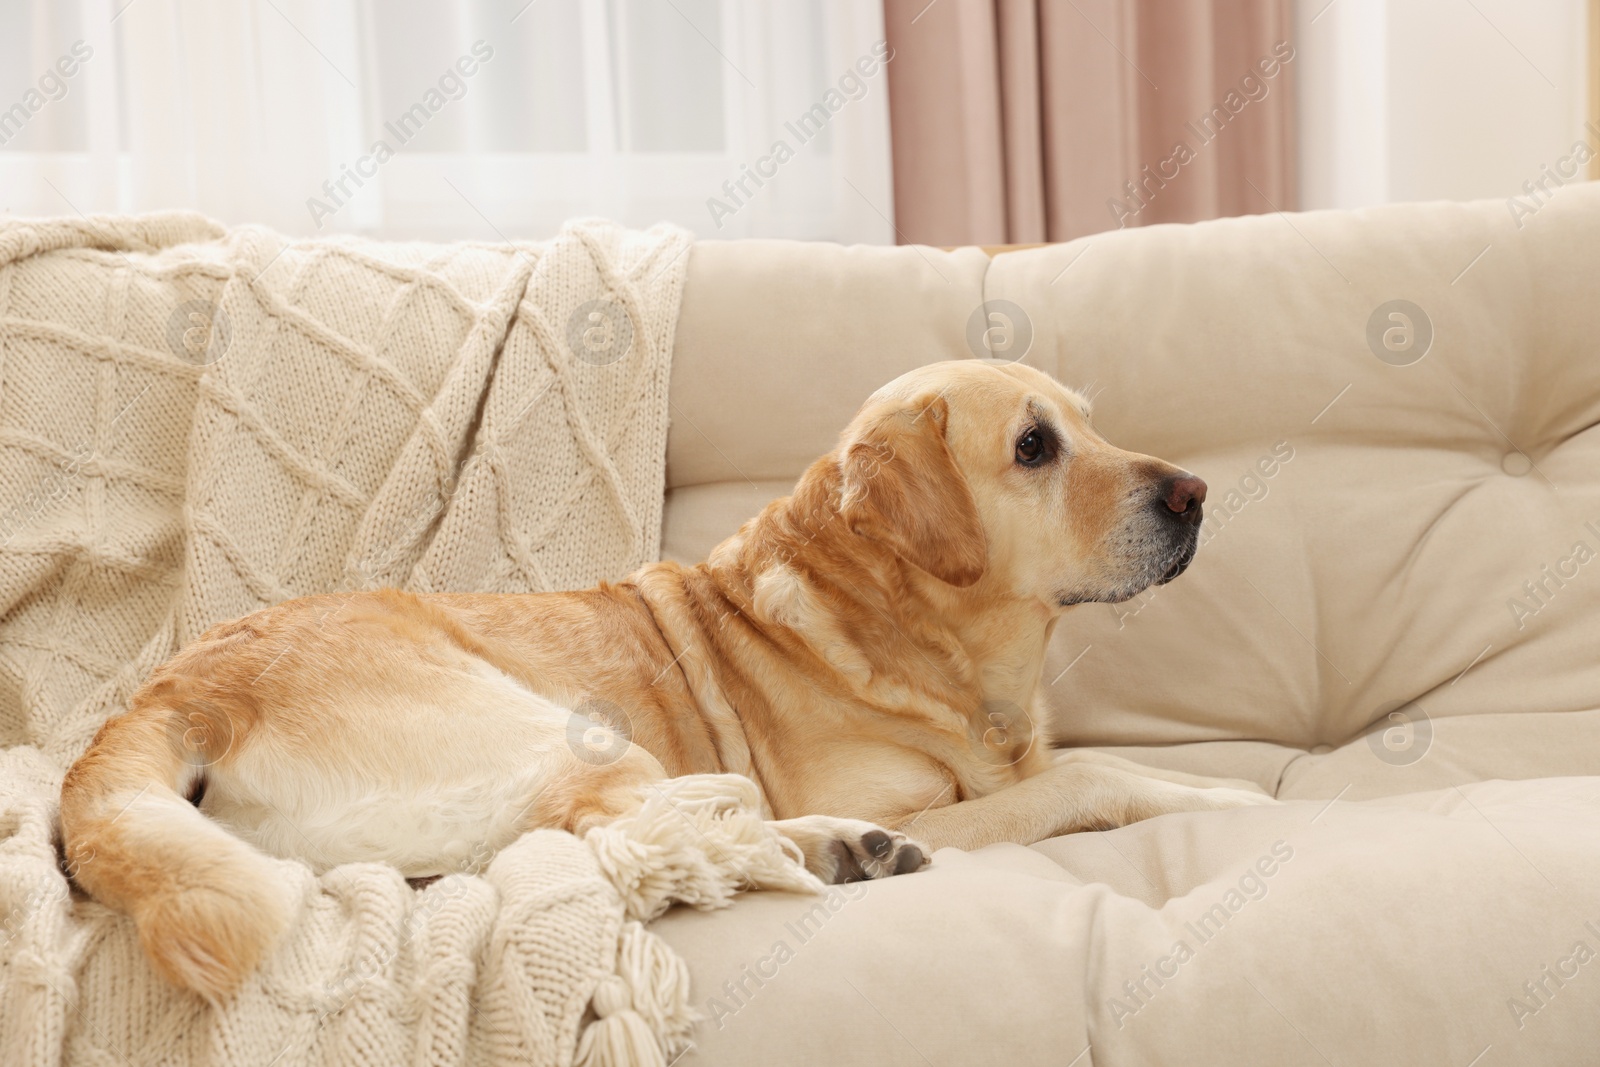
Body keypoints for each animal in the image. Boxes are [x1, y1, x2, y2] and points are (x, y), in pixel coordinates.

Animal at [59, 358, 1273, 1004]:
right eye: (1032, 447)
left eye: (1089, 423)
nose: (1198, 494)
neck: (909, 630)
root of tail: (169, 690)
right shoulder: (961, 804)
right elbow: (1093, 776)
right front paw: (1222, 795)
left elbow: (1068, 764)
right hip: (553, 727)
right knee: (620, 839)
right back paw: (837, 845)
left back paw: (838, 850)